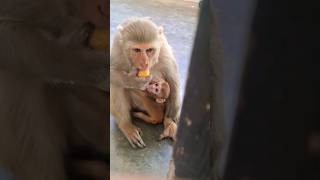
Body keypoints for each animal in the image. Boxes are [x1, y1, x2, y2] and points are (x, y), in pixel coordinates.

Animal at [110, 17, 180, 148]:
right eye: (137, 50)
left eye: (149, 50)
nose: (144, 62)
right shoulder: (117, 48)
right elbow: (111, 73)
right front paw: (134, 81)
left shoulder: (163, 48)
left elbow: (172, 76)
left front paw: (170, 122)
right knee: (116, 85)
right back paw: (126, 125)